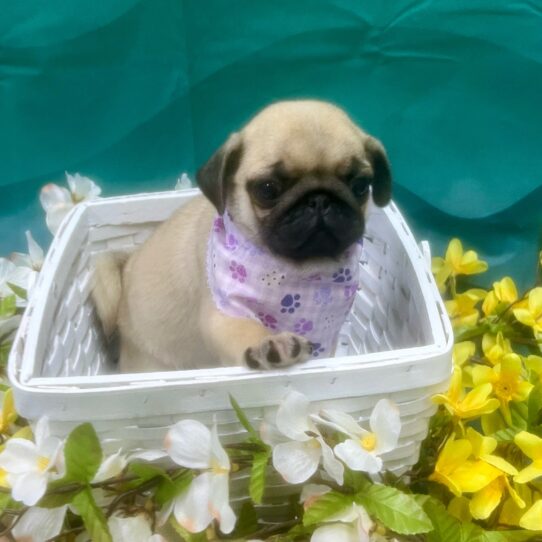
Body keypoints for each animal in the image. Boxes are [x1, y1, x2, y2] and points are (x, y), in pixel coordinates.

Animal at [92, 101, 392, 374]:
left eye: (360, 185)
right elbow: (248, 329)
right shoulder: (225, 315)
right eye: (268, 189)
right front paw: (270, 343)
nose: (319, 200)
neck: (300, 273)